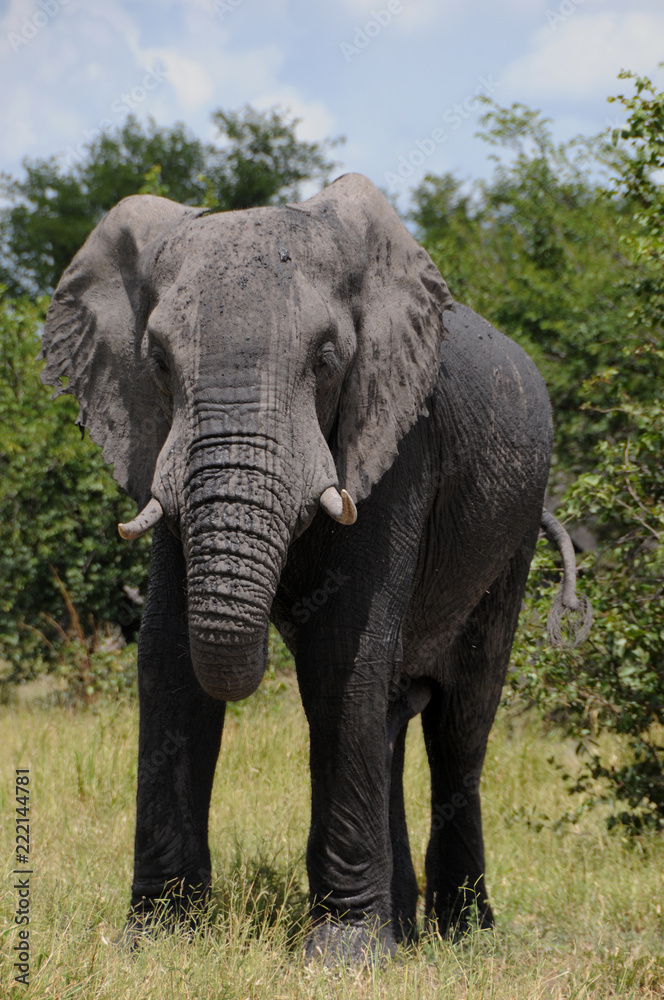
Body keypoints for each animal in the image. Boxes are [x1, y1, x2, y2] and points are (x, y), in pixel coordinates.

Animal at [41, 172, 580, 960]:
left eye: (326, 362)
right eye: (159, 364)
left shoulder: (400, 441)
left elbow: (339, 657)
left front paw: (343, 957)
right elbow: (169, 657)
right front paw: (159, 942)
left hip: (512, 532)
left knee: (460, 721)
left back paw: (462, 937)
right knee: (391, 714)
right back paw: (403, 930)